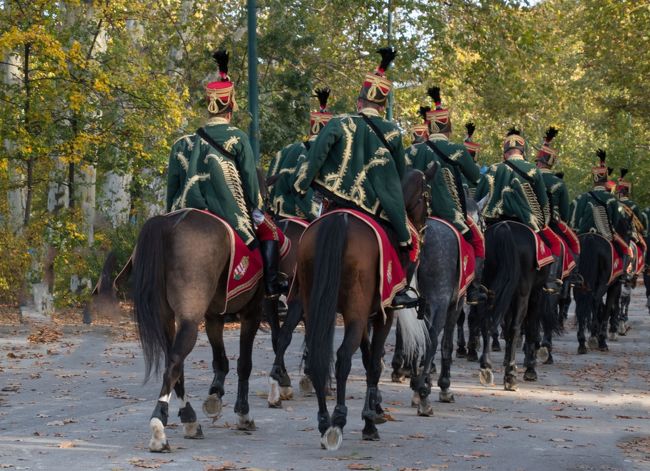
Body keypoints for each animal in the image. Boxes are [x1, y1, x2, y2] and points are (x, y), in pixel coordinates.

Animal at [132, 211, 264, 454]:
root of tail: (166, 223)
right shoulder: (253, 311)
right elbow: (245, 363)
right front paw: (243, 413)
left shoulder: (214, 316)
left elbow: (221, 360)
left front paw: (215, 394)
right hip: (190, 318)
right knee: (175, 362)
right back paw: (159, 428)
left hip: (167, 318)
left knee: (174, 363)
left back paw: (189, 420)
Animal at [296, 168, 432, 452]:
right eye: (427, 195)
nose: (423, 231)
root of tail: (339, 221)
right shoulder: (383, 314)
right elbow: (375, 363)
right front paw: (370, 420)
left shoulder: (366, 315)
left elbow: (370, 359)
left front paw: (374, 410)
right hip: (356, 313)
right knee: (343, 357)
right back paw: (337, 421)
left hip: (316, 308)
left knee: (318, 358)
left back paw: (324, 421)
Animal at [476, 221, 548, 390]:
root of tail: (504, 228)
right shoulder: (536, 294)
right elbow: (530, 329)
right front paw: (530, 368)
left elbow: (506, 328)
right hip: (523, 292)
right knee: (516, 327)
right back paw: (511, 376)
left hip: (489, 285)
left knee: (487, 321)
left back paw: (486, 366)